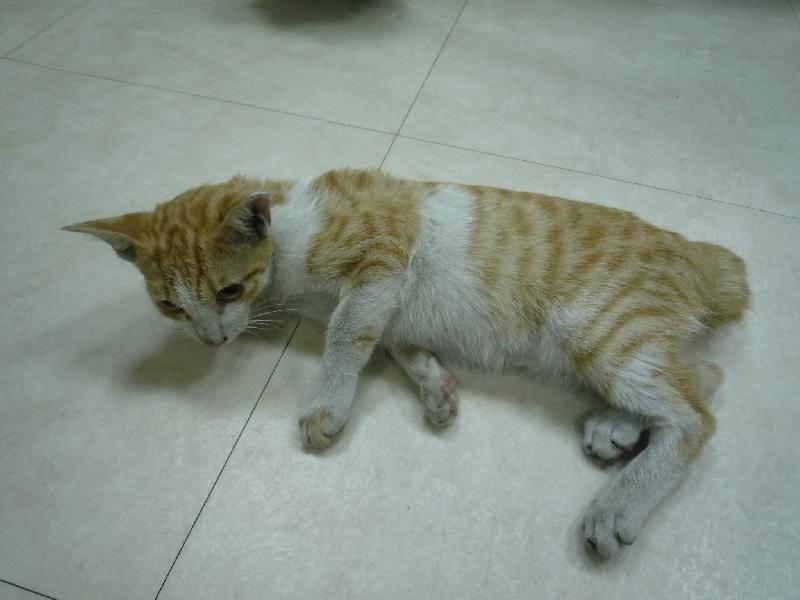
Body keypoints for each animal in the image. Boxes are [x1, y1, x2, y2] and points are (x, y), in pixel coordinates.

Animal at [64, 169, 750, 557]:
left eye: (229, 292)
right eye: (169, 306)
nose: (211, 341)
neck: (290, 233)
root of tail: (694, 250)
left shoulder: (381, 263)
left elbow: (345, 336)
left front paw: (326, 406)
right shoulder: (389, 308)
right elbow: (395, 344)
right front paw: (436, 387)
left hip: (599, 331)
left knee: (696, 416)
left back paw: (618, 504)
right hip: (606, 349)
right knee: (702, 376)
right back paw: (617, 425)